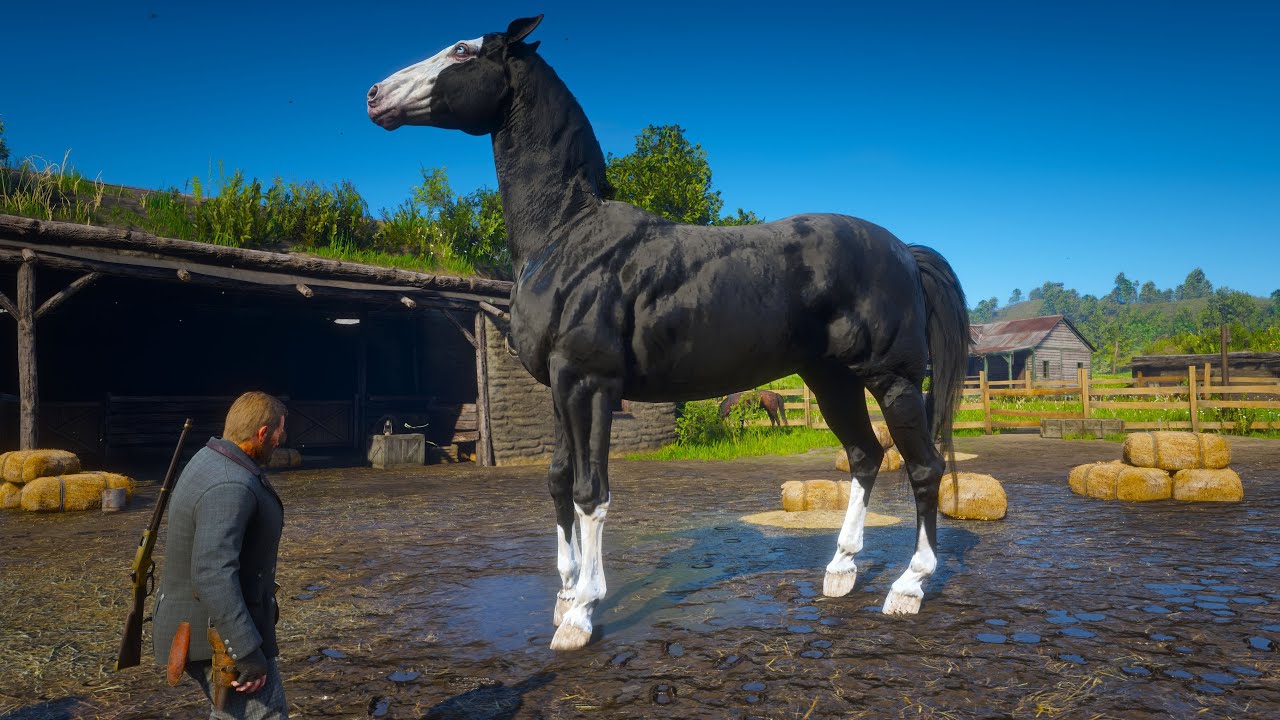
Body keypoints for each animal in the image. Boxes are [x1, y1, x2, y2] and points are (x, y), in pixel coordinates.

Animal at [368, 15, 970, 652]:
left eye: (462, 51)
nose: (375, 96)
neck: (566, 237)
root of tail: (904, 251)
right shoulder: (558, 389)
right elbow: (558, 481)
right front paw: (563, 597)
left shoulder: (591, 384)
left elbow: (591, 492)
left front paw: (582, 613)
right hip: (831, 380)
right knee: (864, 456)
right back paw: (841, 571)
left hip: (892, 379)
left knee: (923, 468)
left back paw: (908, 587)